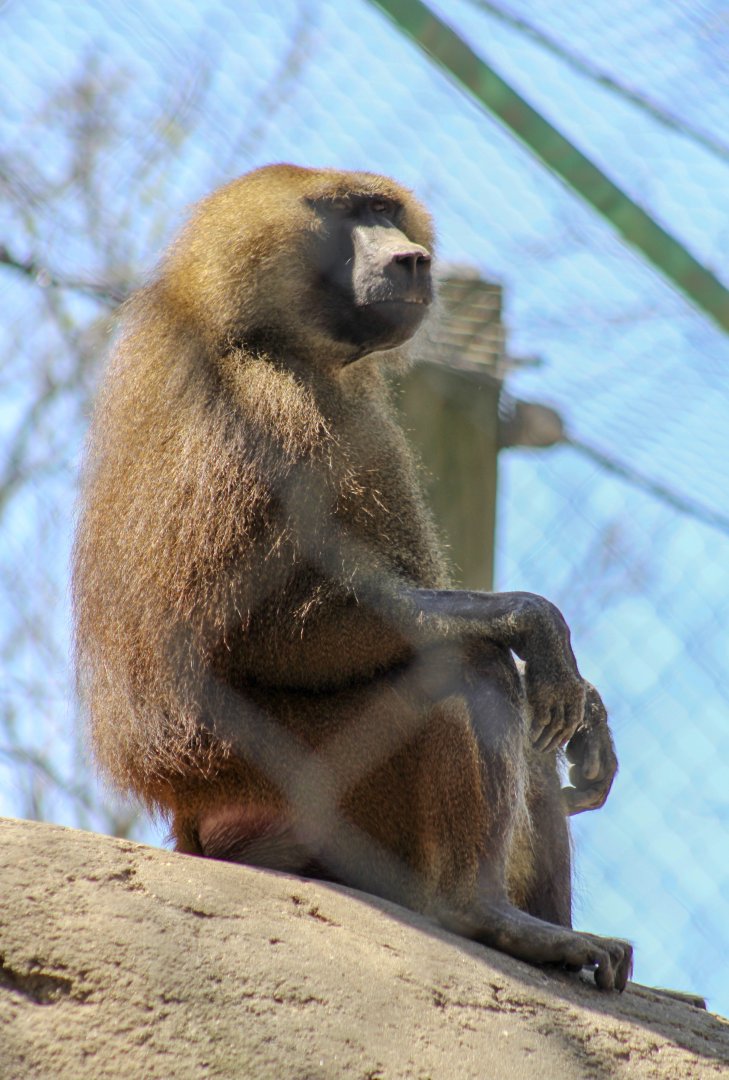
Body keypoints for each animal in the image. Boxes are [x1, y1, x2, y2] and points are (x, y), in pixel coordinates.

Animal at [73, 164, 630, 990]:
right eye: (351, 216)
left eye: (387, 213)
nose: (411, 261)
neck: (267, 336)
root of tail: (189, 816)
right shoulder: (265, 407)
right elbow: (257, 633)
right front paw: (531, 618)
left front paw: (588, 711)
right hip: (287, 779)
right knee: (467, 665)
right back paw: (483, 914)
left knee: (521, 708)